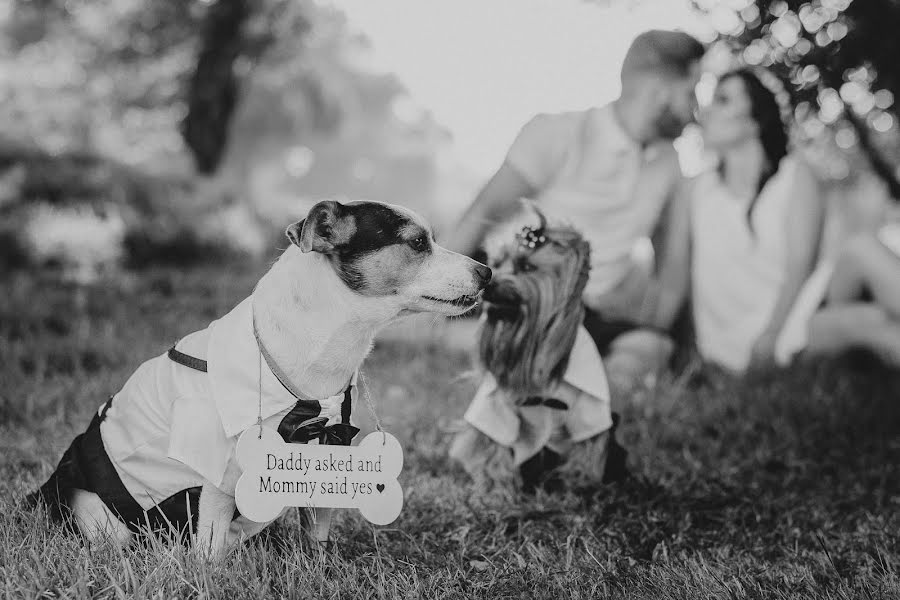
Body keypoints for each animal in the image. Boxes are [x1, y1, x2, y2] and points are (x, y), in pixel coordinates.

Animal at [26, 199, 492, 556]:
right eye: (417, 243)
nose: (487, 272)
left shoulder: (330, 449)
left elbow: (317, 531)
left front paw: (318, 567)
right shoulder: (217, 478)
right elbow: (210, 546)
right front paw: (208, 577)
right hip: (96, 511)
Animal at [450, 209, 624, 494]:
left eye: (527, 267)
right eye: (497, 263)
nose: (489, 281)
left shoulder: (591, 402)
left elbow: (589, 443)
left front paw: (579, 484)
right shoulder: (495, 404)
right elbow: (492, 444)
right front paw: (495, 489)